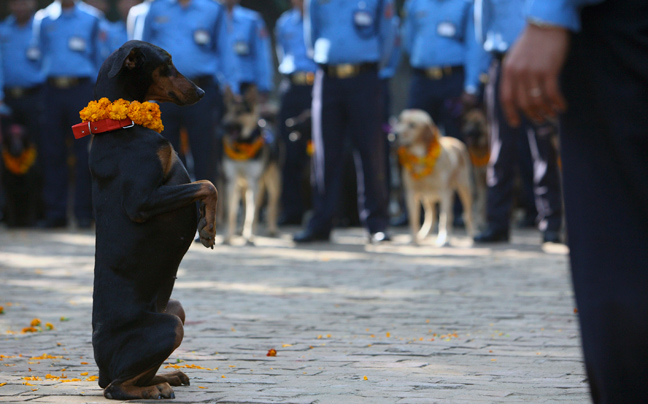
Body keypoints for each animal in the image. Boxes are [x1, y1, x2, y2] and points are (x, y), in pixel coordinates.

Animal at [79, 41, 216, 400]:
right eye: (166, 64)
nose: (201, 91)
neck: (122, 124)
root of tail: (101, 366)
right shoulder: (141, 202)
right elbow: (207, 184)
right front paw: (209, 229)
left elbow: (203, 186)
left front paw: (205, 225)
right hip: (170, 326)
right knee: (114, 388)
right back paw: (153, 389)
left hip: (175, 308)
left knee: (128, 378)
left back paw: (167, 376)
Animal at [392, 109, 474, 245]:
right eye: (399, 120)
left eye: (412, 125)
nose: (394, 134)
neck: (421, 160)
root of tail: (453, 139)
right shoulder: (411, 193)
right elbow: (414, 218)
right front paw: (414, 239)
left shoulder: (444, 193)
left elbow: (444, 218)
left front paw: (442, 239)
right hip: (427, 196)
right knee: (432, 215)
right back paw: (424, 234)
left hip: (464, 188)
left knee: (466, 214)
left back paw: (472, 234)